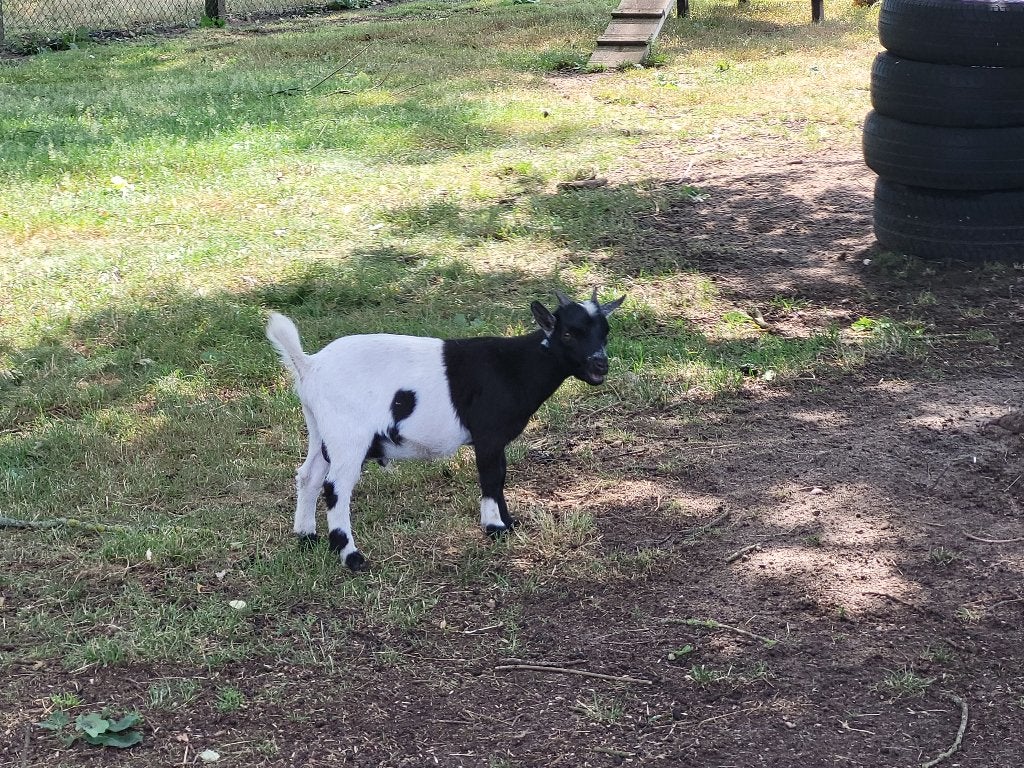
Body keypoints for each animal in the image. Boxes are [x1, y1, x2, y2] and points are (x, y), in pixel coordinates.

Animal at [266, 289, 625, 571]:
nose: (600, 364)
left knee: (309, 475)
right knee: (336, 487)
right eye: (568, 334)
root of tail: (309, 365)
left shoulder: (495, 440)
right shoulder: (488, 434)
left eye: (605, 332)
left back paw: (307, 537)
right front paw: (494, 527)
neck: (515, 366)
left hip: (321, 429)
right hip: (348, 436)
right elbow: (491, 476)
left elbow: (501, 475)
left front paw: (509, 523)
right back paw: (351, 556)